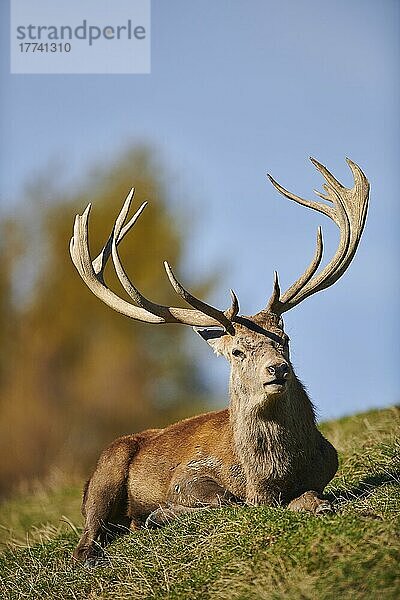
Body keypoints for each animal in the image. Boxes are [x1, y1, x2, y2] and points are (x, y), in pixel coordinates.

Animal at [69, 158, 368, 564]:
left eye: (285, 341)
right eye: (238, 351)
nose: (277, 369)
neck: (268, 477)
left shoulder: (328, 464)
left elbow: (311, 497)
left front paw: (315, 503)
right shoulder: (189, 475)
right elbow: (227, 501)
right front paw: (163, 514)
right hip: (106, 468)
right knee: (89, 532)